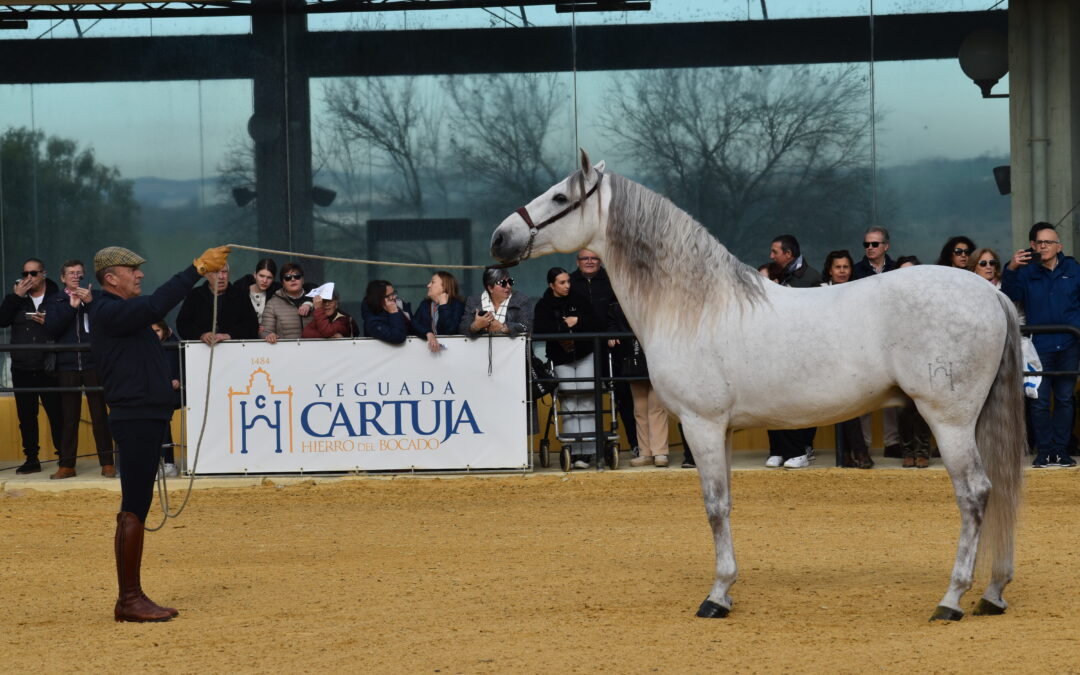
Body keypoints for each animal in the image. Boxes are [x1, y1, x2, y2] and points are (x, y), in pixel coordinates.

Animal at [494, 151, 1023, 622]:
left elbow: (714, 506)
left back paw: (952, 600)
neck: (695, 306)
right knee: (997, 490)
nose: (500, 239)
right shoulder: (723, 429)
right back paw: (993, 593)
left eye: (560, 196)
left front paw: (716, 597)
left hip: (948, 420)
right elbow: (726, 502)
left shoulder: (702, 425)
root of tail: (990, 293)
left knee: (975, 493)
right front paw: (727, 590)